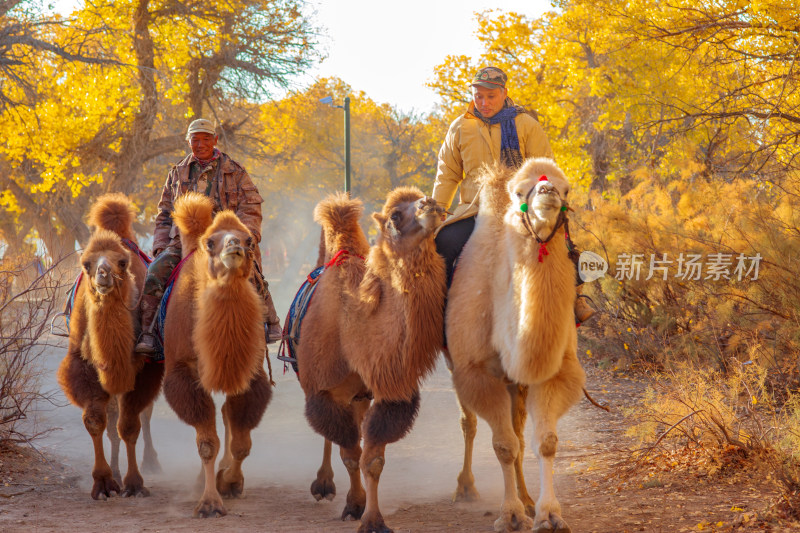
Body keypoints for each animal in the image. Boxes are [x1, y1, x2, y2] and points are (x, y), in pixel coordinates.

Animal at [57, 192, 164, 498]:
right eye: (87, 264)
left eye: (122, 263)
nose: (103, 274)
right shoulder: (83, 366)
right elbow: (96, 421)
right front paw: (104, 482)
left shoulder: (144, 368)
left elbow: (130, 425)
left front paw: (135, 483)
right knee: (113, 421)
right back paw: (116, 471)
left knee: (143, 416)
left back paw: (151, 461)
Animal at [160, 190, 272, 516]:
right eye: (211, 242)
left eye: (249, 240)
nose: (234, 246)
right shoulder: (183, 372)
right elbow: (207, 443)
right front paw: (209, 502)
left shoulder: (250, 372)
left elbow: (241, 443)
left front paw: (230, 482)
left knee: (225, 416)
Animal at [296, 188, 446, 532]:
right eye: (394, 216)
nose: (431, 203)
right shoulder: (323, 391)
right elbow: (351, 453)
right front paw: (356, 506)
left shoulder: (391, 390)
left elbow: (372, 458)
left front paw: (372, 517)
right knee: (333, 437)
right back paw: (323, 484)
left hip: (360, 396)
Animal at [446, 159, 584, 532]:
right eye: (521, 192)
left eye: (566, 189)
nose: (548, 192)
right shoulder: (477, 372)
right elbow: (503, 445)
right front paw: (509, 515)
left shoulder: (553, 373)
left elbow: (544, 443)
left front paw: (549, 514)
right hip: (457, 367)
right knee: (469, 422)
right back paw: (466, 487)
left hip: (515, 384)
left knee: (520, 432)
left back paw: (526, 497)